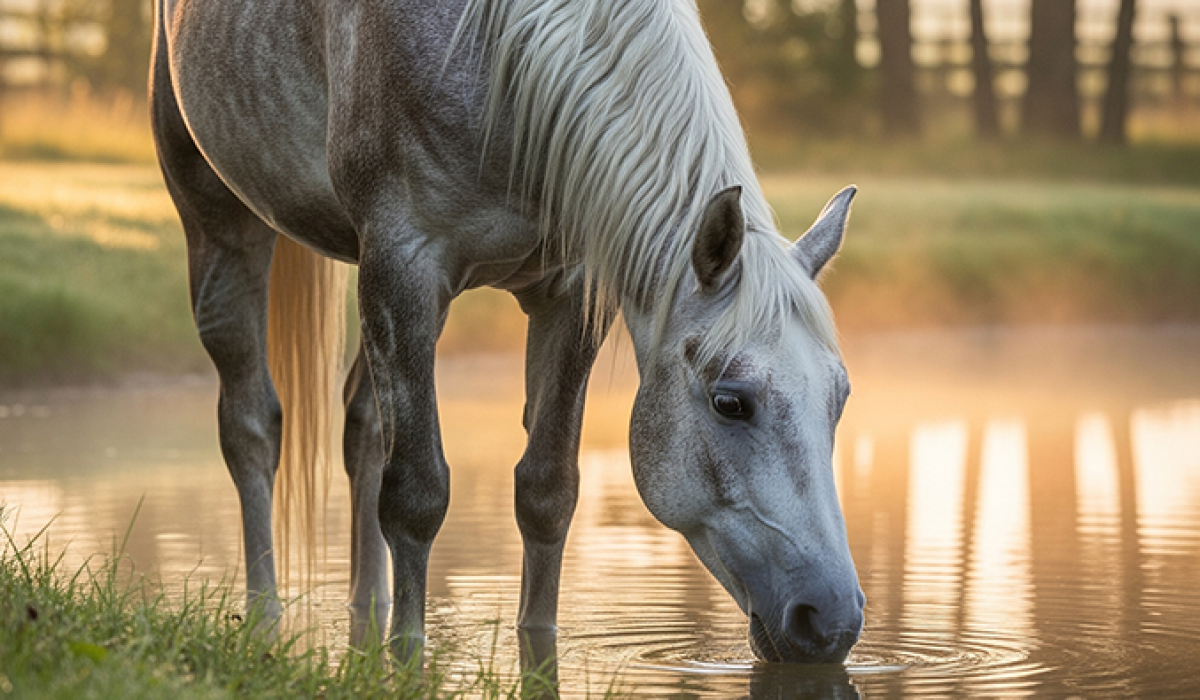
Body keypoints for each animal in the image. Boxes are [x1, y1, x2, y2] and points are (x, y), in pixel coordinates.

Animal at [151, 0, 865, 664]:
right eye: (729, 402)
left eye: (841, 401)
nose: (832, 621)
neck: (498, 61)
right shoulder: (405, 265)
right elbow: (416, 494)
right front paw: (408, 657)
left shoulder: (569, 292)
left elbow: (548, 492)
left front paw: (536, 650)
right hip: (221, 222)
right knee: (253, 428)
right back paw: (265, 615)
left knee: (363, 426)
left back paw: (365, 611)